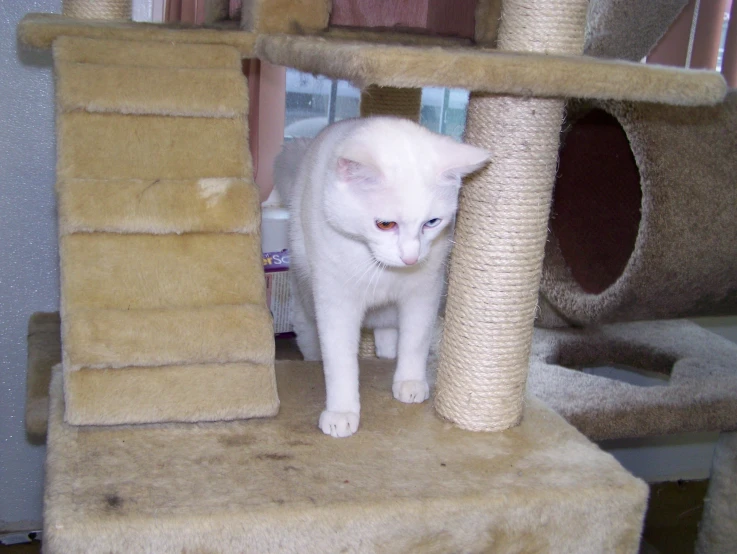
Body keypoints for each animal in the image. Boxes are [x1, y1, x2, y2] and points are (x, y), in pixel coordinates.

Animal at [270, 116, 488, 436]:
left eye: (432, 222)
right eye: (385, 224)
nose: (411, 257)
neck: (384, 270)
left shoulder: (424, 292)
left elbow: (415, 340)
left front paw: (410, 381)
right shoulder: (336, 301)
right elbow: (340, 360)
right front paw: (341, 412)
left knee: (388, 329)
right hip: (306, 297)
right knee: (307, 329)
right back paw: (312, 356)